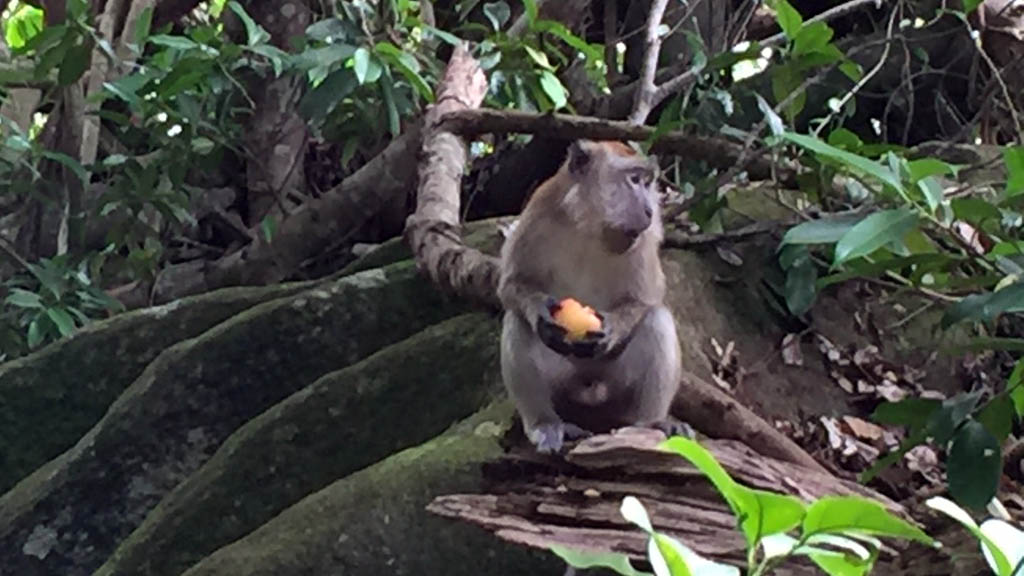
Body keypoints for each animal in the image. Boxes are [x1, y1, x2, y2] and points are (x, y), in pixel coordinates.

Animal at [497, 139, 696, 453]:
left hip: (616, 391)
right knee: (517, 322)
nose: (649, 209)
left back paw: (652, 422)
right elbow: (512, 285)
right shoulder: (536, 214)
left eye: (647, 182)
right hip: (565, 387)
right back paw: (546, 423)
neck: (590, 225)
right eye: (633, 179)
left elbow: (647, 299)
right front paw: (540, 309)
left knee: (657, 318)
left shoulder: (647, 237)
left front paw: (613, 328)